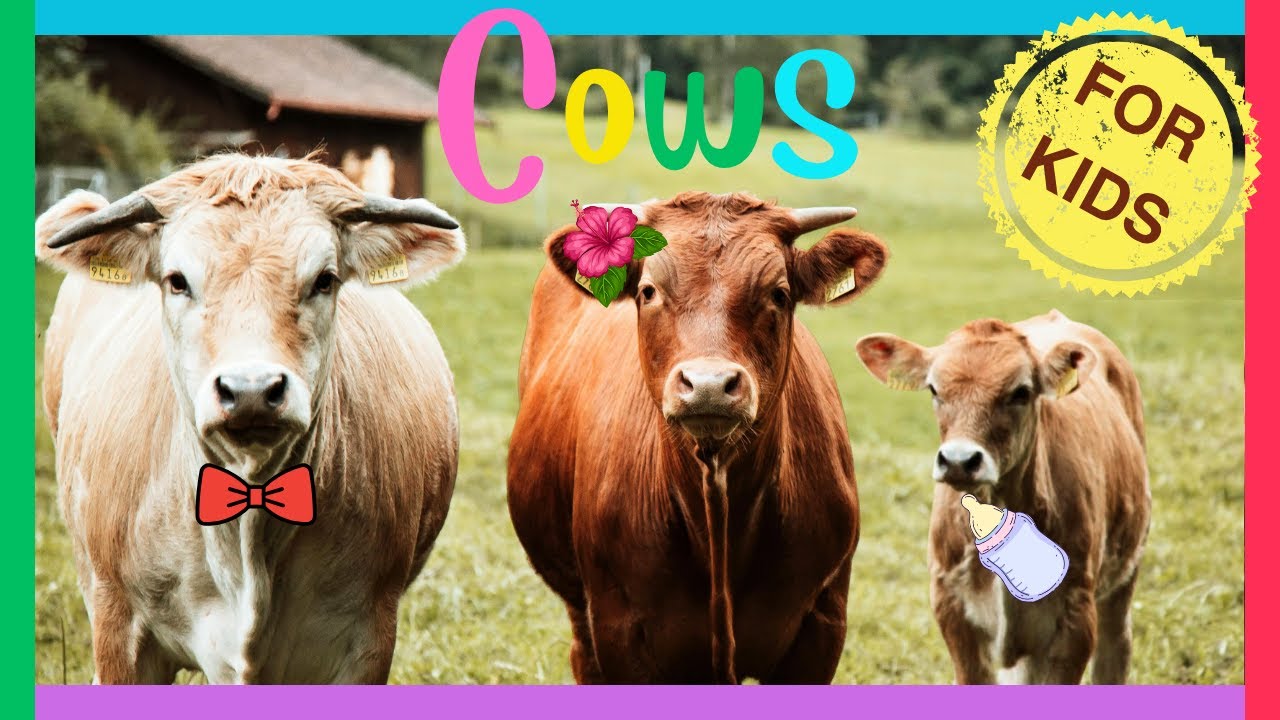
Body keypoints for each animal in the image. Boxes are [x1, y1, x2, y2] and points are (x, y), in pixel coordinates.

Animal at [855, 310, 1151, 684]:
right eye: (934, 389)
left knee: (1115, 650)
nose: (959, 460)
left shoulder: (1075, 618)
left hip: (1123, 578)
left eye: (1020, 392)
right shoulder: (953, 609)